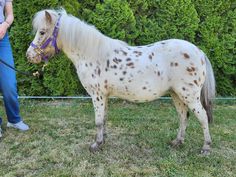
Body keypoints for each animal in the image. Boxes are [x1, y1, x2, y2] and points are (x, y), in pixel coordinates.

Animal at [26, 9, 216, 154]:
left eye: (42, 32)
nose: (29, 55)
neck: (92, 54)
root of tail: (199, 51)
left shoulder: (97, 95)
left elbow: (98, 121)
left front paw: (95, 145)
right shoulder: (104, 96)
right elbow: (104, 119)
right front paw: (102, 140)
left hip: (189, 95)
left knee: (202, 116)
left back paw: (206, 148)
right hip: (176, 94)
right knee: (183, 116)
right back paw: (177, 142)